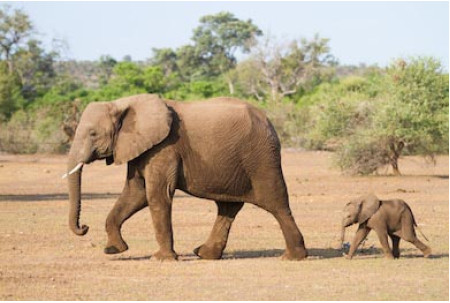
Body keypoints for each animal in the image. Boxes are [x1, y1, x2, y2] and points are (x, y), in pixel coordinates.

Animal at [65, 94, 308, 262]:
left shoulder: (164, 148)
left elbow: (157, 195)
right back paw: (204, 254)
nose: (84, 227)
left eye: (93, 134)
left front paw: (161, 259)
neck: (124, 104)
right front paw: (114, 250)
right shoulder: (141, 148)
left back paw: (293, 257)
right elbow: (136, 193)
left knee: (277, 203)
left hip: (261, 158)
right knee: (227, 207)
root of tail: (268, 121)